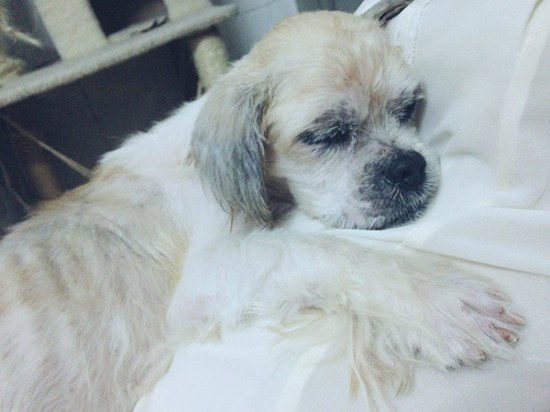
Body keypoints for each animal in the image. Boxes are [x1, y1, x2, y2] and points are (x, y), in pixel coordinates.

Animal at [0, 10, 523, 412]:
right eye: (325, 135)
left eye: (408, 108)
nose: (408, 166)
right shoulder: (205, 276)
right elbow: (325, 251)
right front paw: (439, 300)